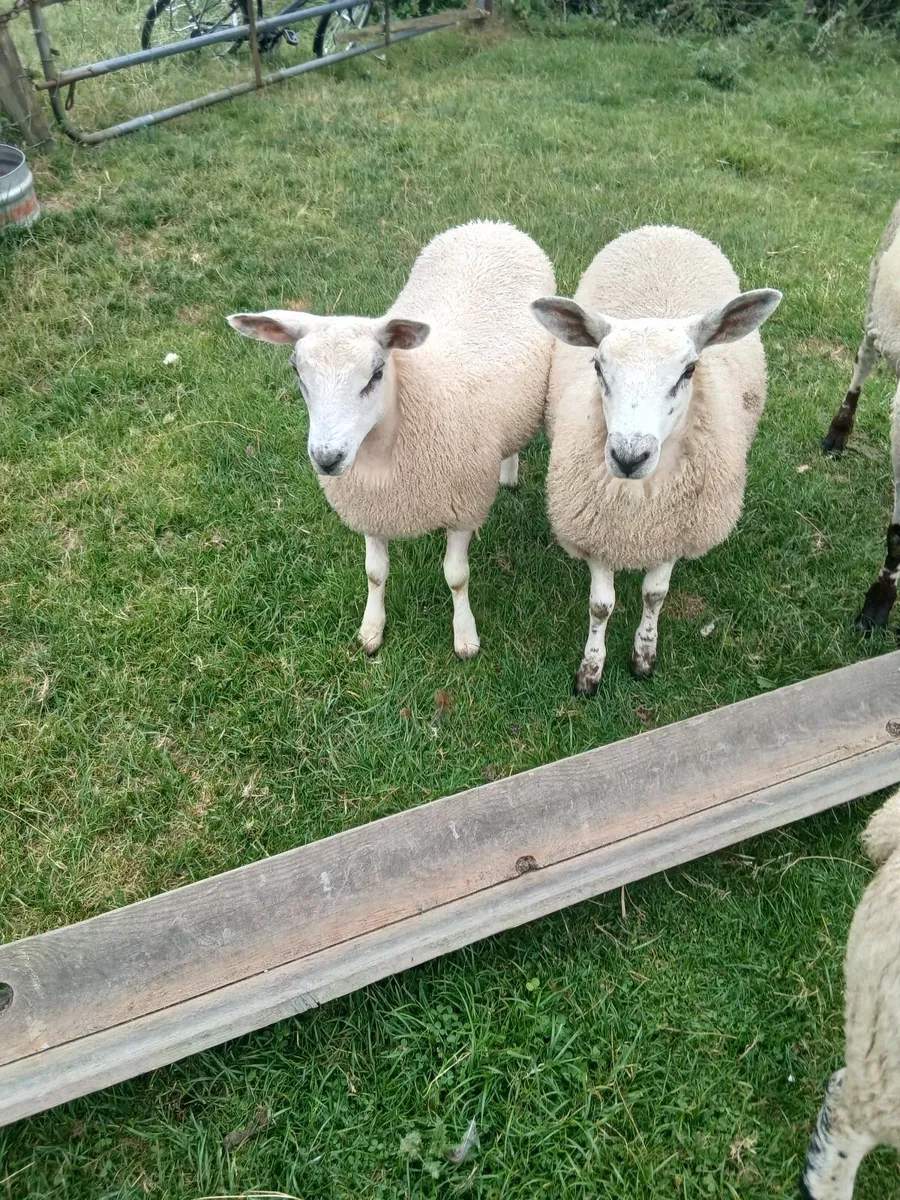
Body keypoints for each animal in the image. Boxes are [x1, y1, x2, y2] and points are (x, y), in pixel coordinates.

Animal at [227, 220, 554, 659]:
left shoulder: (463, 505)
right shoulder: (372, 507)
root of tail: (490, 225)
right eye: (297, 371)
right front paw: (371, 630)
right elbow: (374, 573)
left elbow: (456, 577)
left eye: (377, 373)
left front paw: (465, 636)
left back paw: (509, 474)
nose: (327, 458)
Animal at [531, 225, 781, 696]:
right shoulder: (598, 533)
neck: (639, 510)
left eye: (689, 370)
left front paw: (644, 655)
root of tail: (665, 228)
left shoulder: (674, 534)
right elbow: (601, 605)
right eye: (597, 366)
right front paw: (591, 670)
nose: (629, 456)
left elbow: (654, 596)